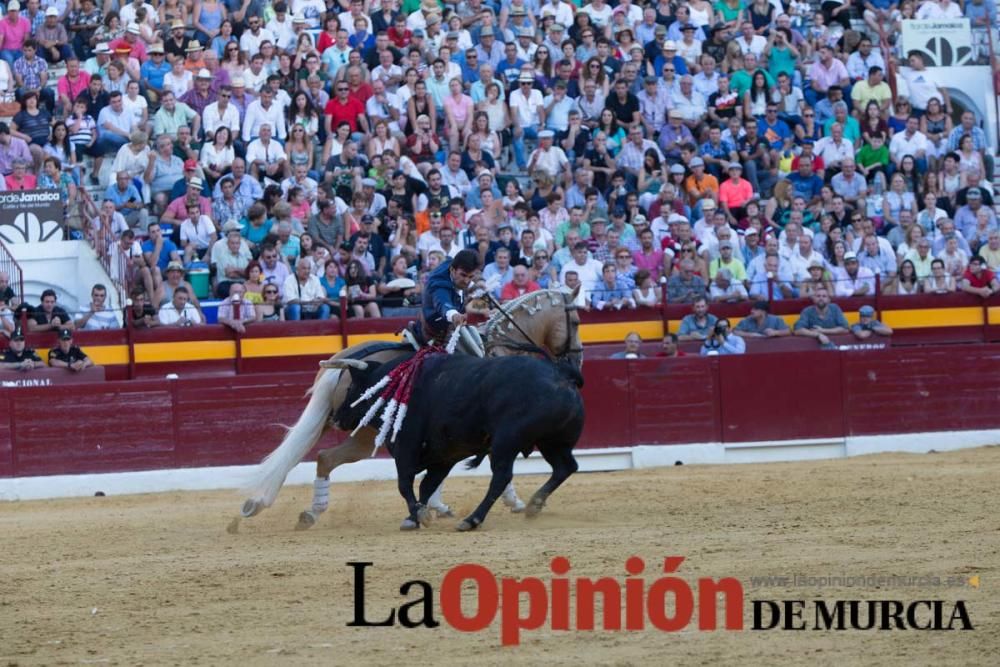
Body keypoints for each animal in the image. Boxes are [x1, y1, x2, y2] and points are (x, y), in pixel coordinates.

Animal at [336, 354, 584, 532]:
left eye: (350, 388)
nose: (337, 418)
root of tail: (560, 373)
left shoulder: (406, 447)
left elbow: (405, 483)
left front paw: (418, 515)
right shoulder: (445, 456)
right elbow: (427, 486)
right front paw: (414, 517)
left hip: (506, 442)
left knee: (501, 477)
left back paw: (472, 519)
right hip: (553, 442)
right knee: (565, 467)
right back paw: (534, 505)